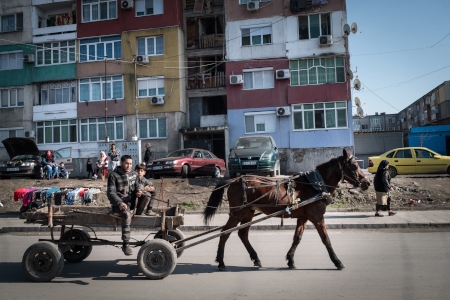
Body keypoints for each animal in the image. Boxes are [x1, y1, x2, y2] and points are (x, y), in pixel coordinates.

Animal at [204, 149, 370, 270]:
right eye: (354, 166)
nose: (367, 182)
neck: (316, 184)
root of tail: (234, 180)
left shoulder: (303, 217)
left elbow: (297, 238)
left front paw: (290, 260)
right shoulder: (317, 217)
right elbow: (326, 239)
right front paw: (337, 261)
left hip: (248, 212)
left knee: (242, 234)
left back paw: (256, 259)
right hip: (237, 213)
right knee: (224, 233)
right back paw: (221, 262)